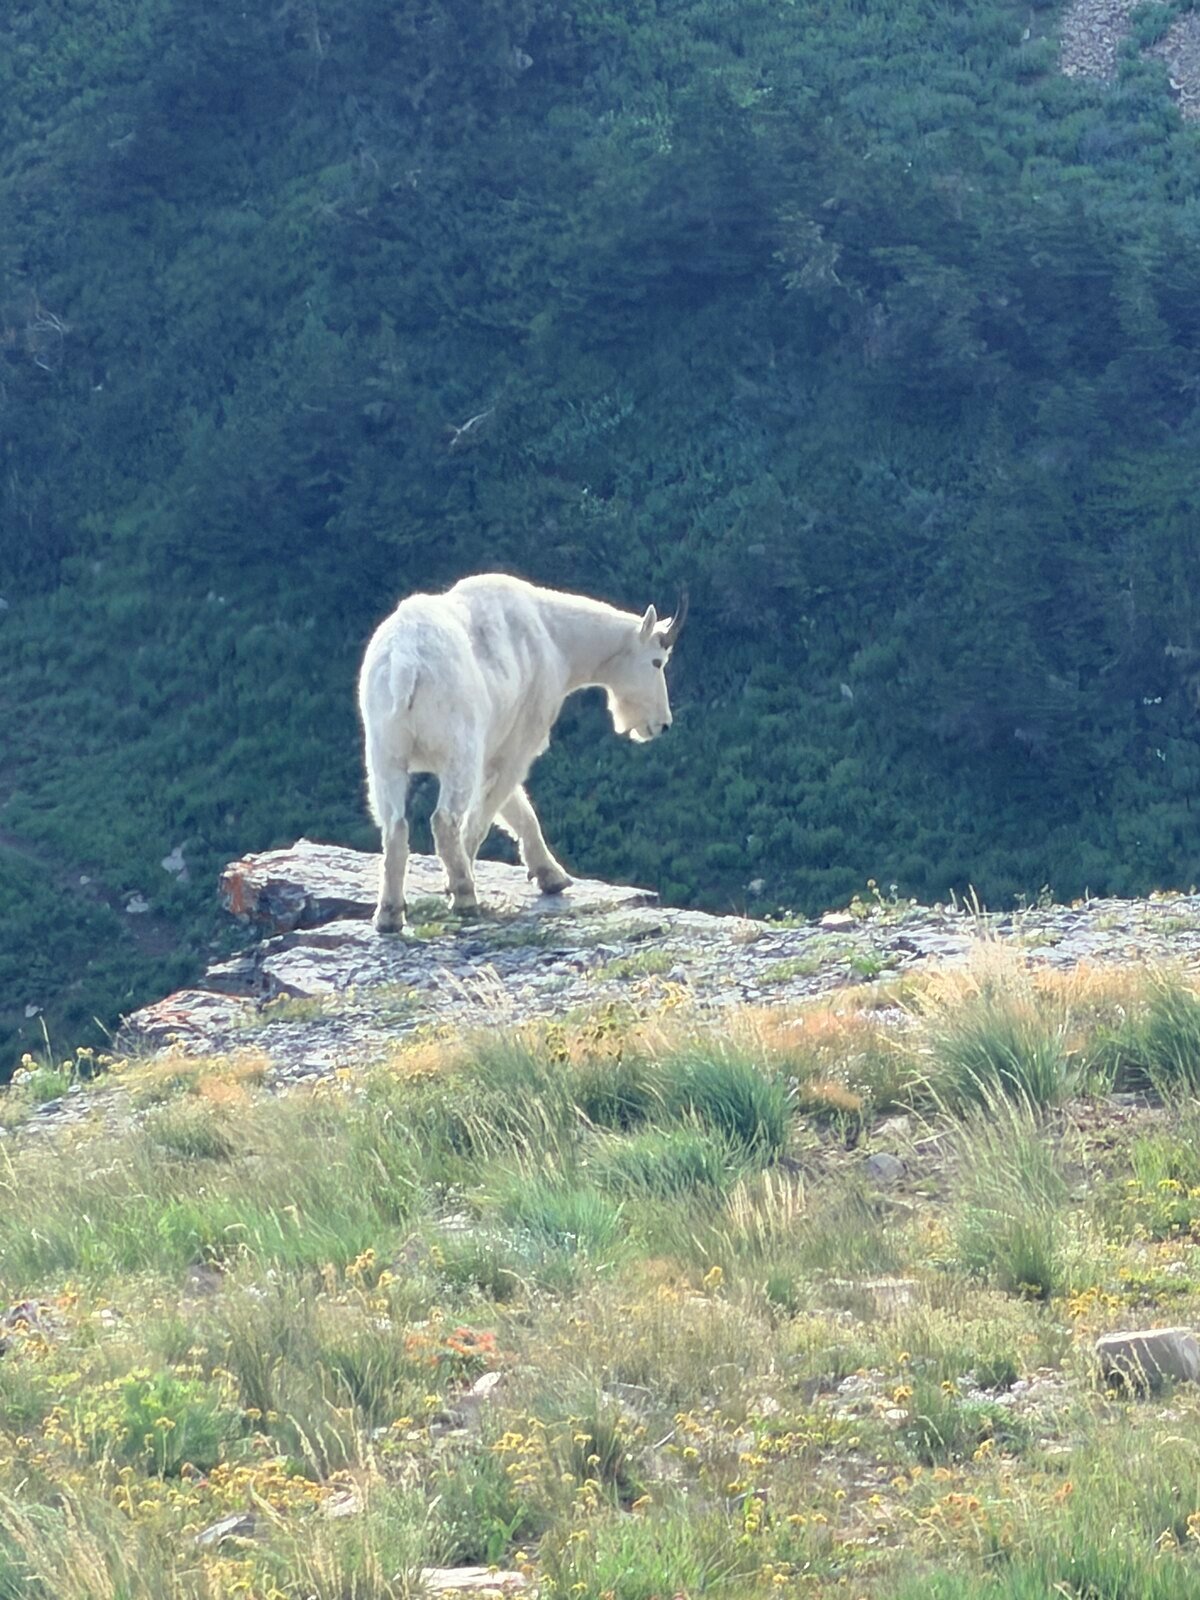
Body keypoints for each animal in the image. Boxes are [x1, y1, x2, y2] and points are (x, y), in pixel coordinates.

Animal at [358, 573, 686, 929]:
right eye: (657, 662)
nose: (662, 724)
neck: (556, 638)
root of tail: (405, 664)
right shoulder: (519, 741)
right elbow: (489, 812)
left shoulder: (495, 748)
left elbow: (517, 809)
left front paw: (553, 877)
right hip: (458, 749)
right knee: (445, 820)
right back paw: (465, 896)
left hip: (385, 751)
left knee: (394, 824)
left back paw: (389, 914)